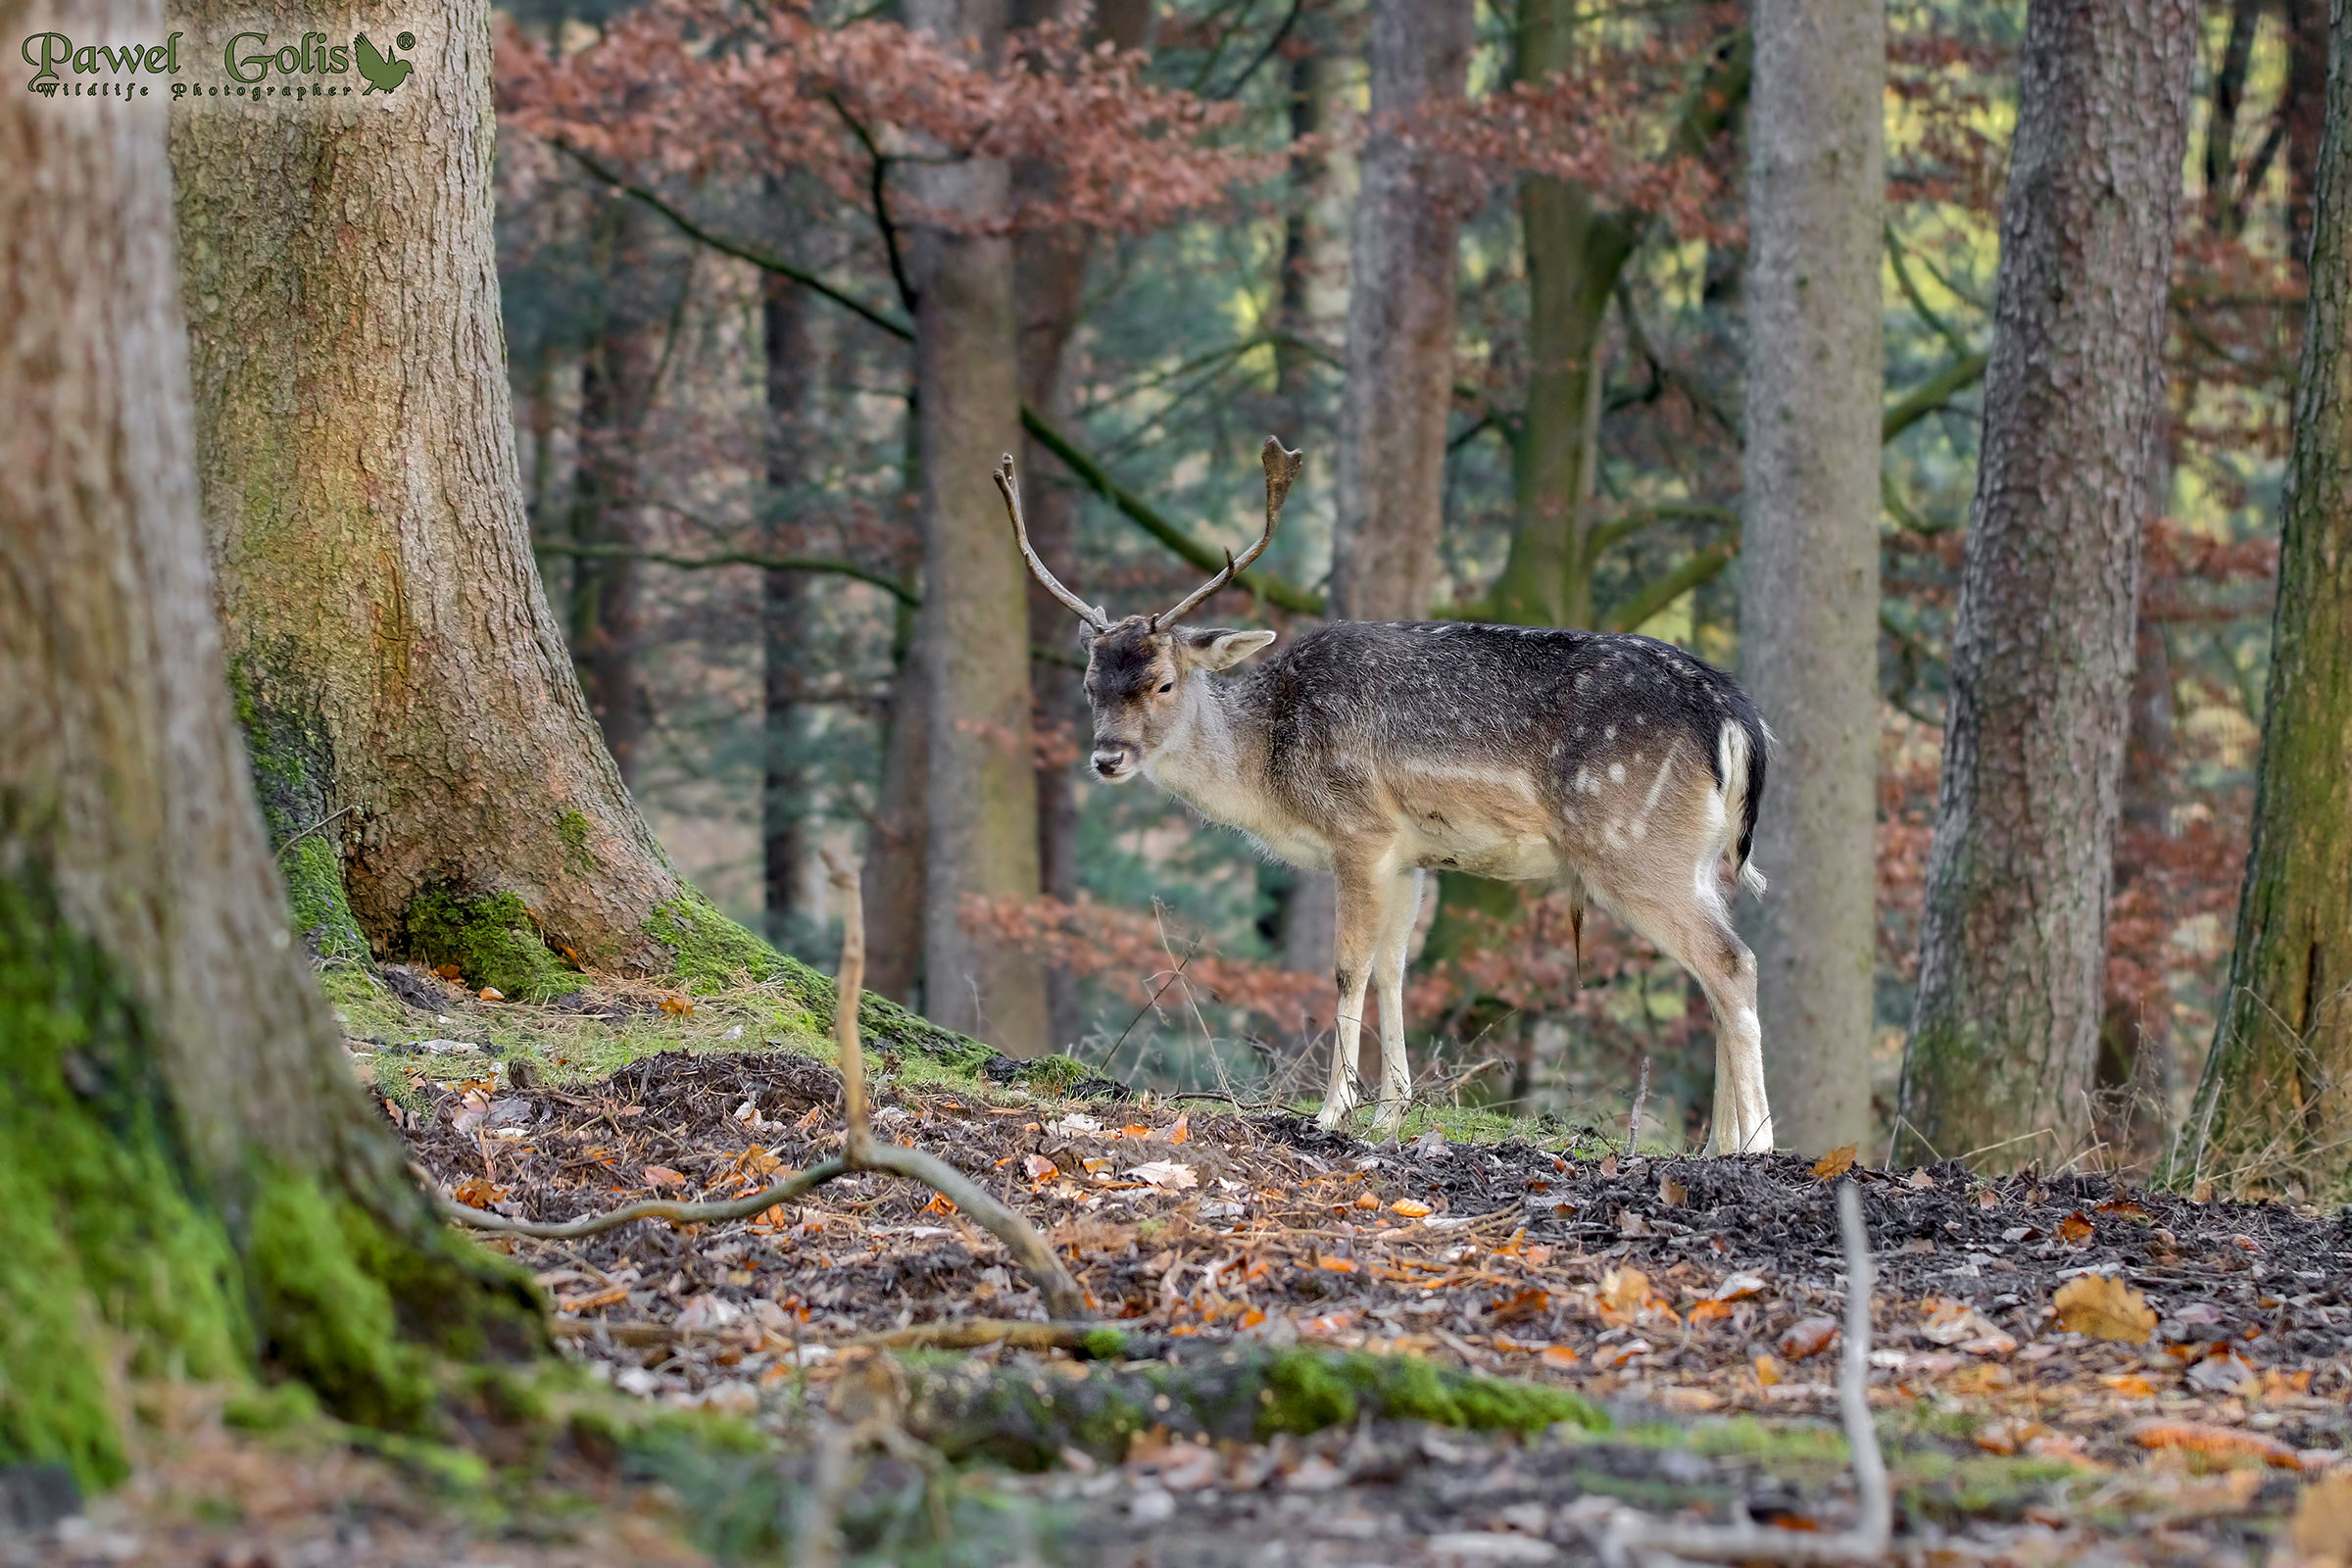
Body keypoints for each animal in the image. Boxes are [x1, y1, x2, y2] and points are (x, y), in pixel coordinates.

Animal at [994, 436, 1774, 1155]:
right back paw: (1719, 1144)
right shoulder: (1410, 855)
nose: (1107, 757)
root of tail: (1737, 718)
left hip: (1633, 847)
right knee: (1712, 975)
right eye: (1090, 684)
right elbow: (1394, 969)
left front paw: (1331, 1112)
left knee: (1732, 964)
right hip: (1701, 862)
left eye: (1162, 682)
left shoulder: (1359, 832)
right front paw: (1391, 1112)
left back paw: (1758, 1144)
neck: (1269, 771)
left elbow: (1349, 967)